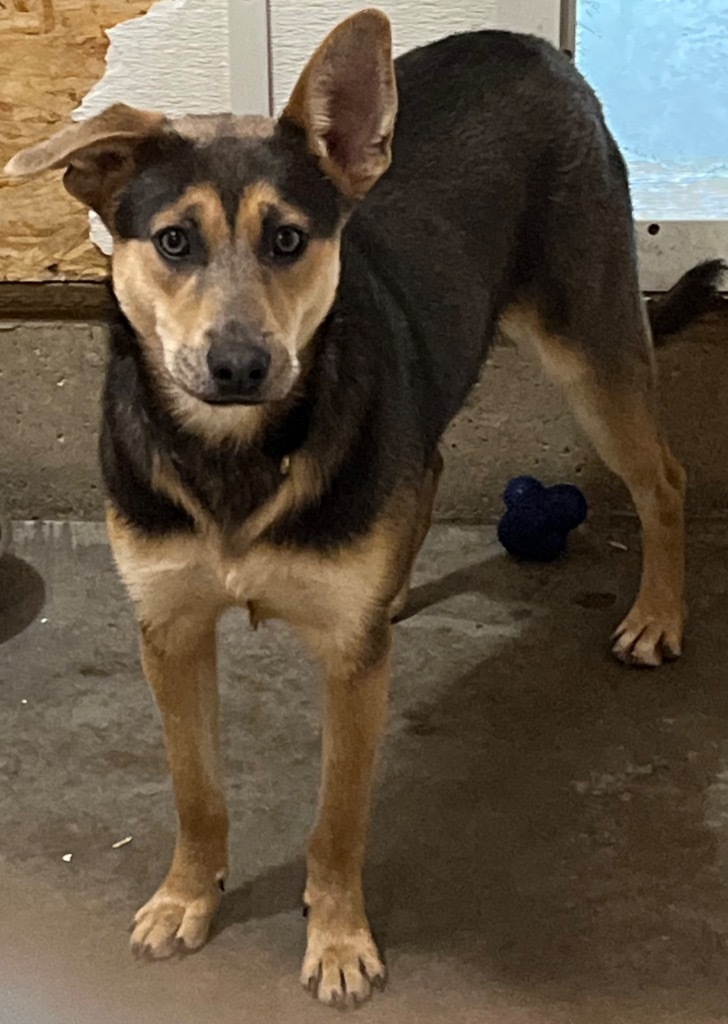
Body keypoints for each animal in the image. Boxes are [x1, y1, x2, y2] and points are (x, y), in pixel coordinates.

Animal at [8, 8, 724, 1007]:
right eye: (175, 242)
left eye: (287, 241)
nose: (241, 366)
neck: (238, 453)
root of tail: (529, 44)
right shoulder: (169, 628)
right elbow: (196, 789)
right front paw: (187, 896)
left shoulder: (352, 670)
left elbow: (338, 820)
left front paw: (339, 939)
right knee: (429, 460)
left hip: (590, 343)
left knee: (663, 479)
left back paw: (657, 616)